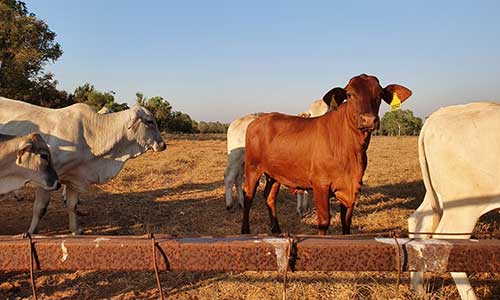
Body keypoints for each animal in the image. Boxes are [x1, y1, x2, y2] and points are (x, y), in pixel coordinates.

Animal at [241, 74, 410, 236]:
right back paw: (245, 230)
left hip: (275, 174)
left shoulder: (351, 187)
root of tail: (258, 119)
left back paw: (276, 230)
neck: (352, 152)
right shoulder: (320, 184)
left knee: (269, 196)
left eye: (380, 94)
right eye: (349, 94)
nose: (368, 120)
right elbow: (324, 221)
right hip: (252, 168)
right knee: (248, 193)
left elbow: (346, 222)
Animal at [406, 101, 500, 300]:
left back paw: (418, 289)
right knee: (447, 238)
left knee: (419, 221)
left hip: (438, 195)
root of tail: (435, 117)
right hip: (465, 205)